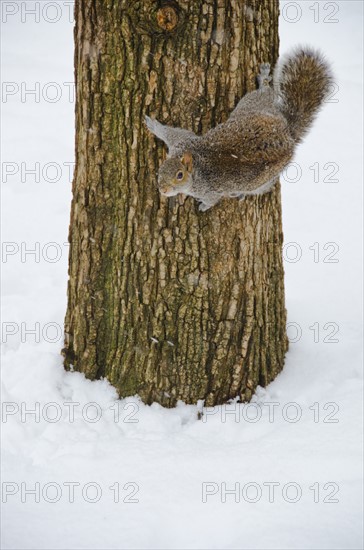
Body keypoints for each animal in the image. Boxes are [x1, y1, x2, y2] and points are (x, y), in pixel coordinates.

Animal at [145, 47, 332, 212]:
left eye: (179, 175)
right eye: (160, 170)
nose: (163, 190)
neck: (197, 168)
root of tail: (287, 133)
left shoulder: (208, 188)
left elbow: (212, 200)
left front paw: (204, 206)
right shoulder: (181, 144)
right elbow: (173, 134)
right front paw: (154, 126)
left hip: (252, 107)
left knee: (266, 92)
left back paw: (264, 78)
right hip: (259, 109)